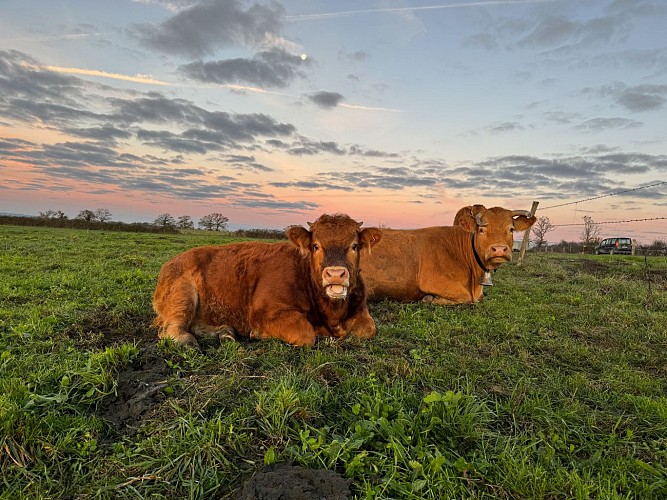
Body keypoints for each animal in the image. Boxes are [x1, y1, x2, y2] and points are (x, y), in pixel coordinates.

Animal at [153, 214, 382, 348]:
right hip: (182, 293)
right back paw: (187, 341)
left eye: (354, 246)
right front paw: (259, 334)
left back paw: (224, 333)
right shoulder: (264, 313)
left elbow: (368, 329)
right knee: (171, 328)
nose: (335, 273)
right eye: (315, 246)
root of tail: (171, 262)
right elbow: (304, 333)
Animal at [360, 205, 536, 305]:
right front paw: (430, 298)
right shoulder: (432, 280)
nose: (499, 249)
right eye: (481, 229)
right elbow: (467, 296)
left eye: (511, 229)